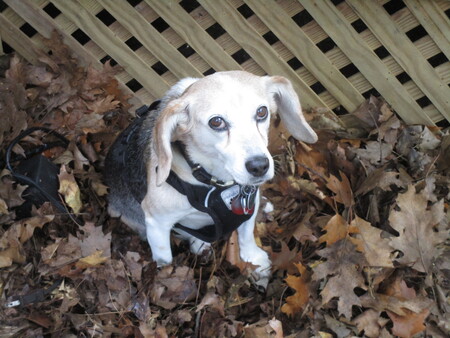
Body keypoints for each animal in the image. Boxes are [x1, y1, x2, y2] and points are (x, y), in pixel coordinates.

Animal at [104, 70, 316, 288]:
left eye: (262, 112)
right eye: (216, 122)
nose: (259, 166)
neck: (217, 184)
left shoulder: (248, 203)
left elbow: (246, 235)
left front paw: (253, 259)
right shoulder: (157, 223)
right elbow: (164, 260)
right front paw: (164, 279)